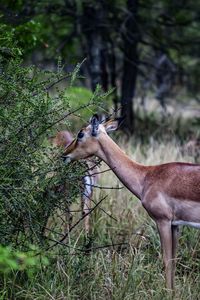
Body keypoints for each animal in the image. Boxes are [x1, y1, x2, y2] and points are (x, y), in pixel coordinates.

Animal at [61, 114, 200, 290]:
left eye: (80, 134)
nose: (64, 154)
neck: (146, 176)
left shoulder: (163, 221)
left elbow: (167, 262)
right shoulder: (176, 225)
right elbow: (174, 262)